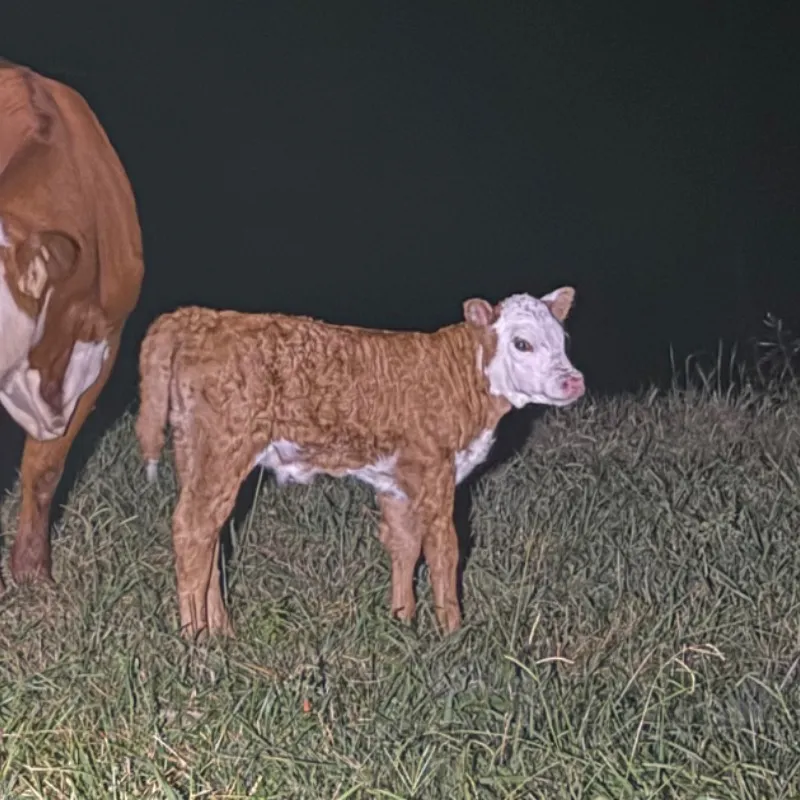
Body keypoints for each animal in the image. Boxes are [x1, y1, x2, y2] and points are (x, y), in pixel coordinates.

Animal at [135, 288, 584, 639]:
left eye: (563, 340)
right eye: (522, 343)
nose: (573, 381)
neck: (462, 377)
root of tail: (202, 317)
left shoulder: (396, 480)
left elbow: (405, 544)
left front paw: (402, 620)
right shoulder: (436, 470)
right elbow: (445, 550)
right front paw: (452, 633)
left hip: (194, 451)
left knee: (209, 534)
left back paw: (221, 630)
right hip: (223, 448)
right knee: (193, 528)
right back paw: (195, 638)